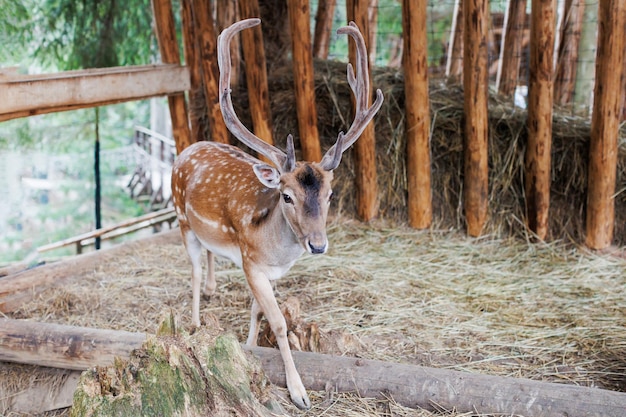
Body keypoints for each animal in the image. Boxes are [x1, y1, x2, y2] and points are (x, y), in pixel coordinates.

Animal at [172, 17, 380, 408]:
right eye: (286, 196)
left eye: (330, 194)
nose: (317, 245)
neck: (275, 251)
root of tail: (187, 148)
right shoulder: (250, 261)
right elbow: (280, 322)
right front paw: (299, 393)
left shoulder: (270, 272)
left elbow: (258, 310)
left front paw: (250, 346)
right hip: (180, 216)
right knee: (192, 269)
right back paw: (194, 321)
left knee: (208, 255)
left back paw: (212, 289)